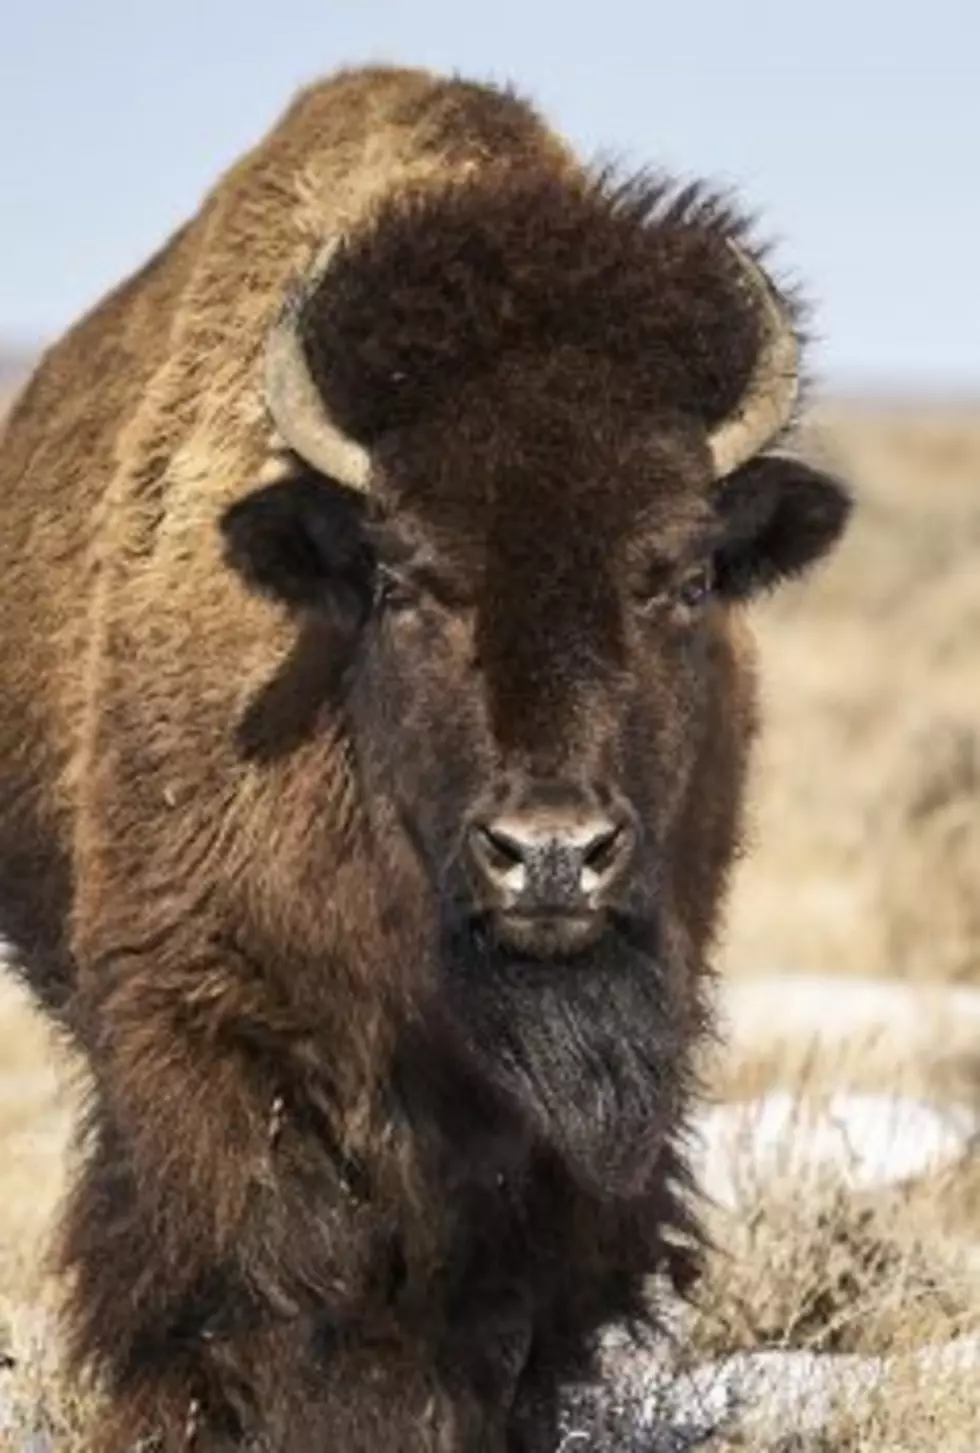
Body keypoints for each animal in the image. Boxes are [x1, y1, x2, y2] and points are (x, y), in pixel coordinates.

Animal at [0, 65, 843, 1453]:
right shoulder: (211, 1029)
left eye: (681, 575)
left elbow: (499, 1321)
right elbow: (269, 1291)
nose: (549, 855)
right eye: (401, 578)